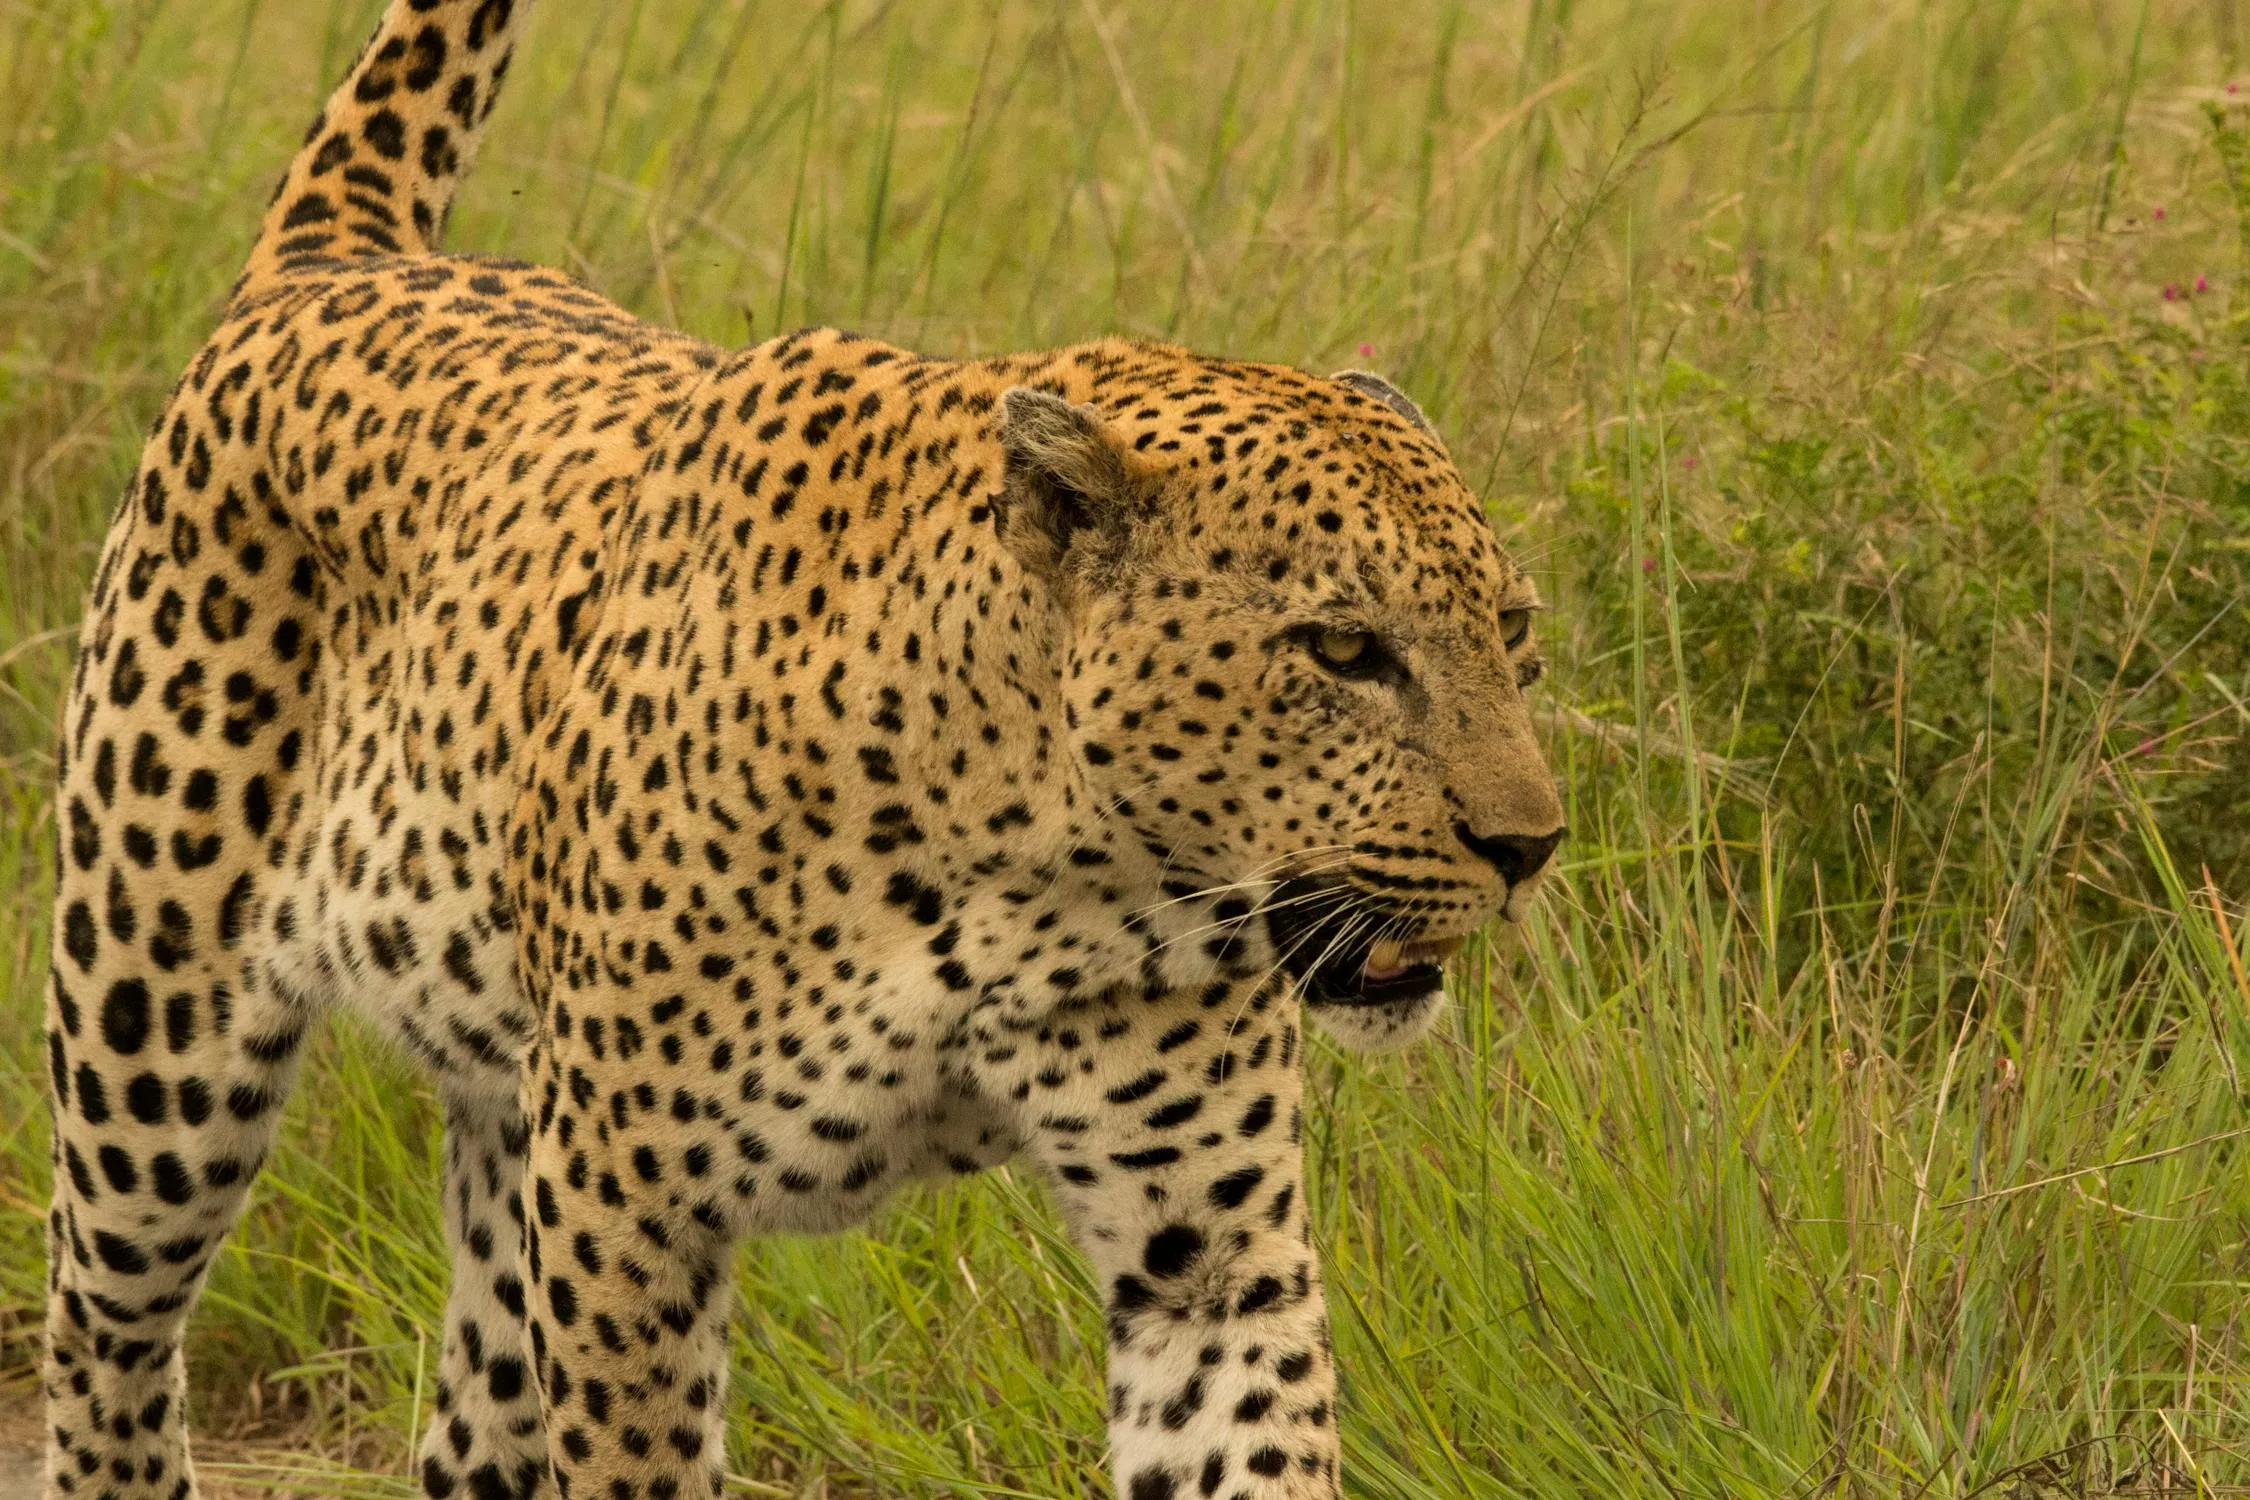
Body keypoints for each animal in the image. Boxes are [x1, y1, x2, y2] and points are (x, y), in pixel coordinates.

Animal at [35, 3, 1567, 1497]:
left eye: (1513, 629)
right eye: (1344, 652)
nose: (1530, 848)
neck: (1037, 869)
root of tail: (335, 261)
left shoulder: (1208, 1260)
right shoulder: (624, 1199)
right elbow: (636, 1463)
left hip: (497, 1128)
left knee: (468, 1431)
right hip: (152, 1048)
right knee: (104, 1343)